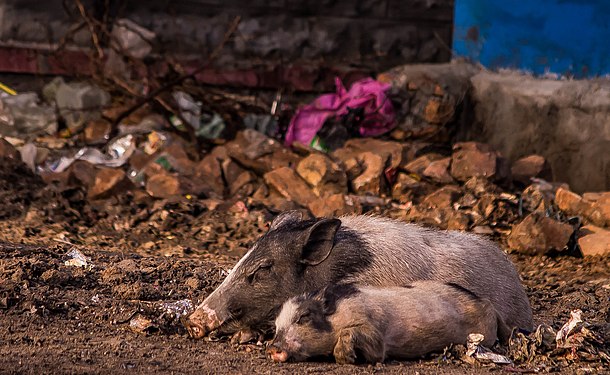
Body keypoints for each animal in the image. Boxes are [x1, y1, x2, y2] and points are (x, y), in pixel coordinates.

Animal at [266, 282, 508, 364]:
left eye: (303, 317)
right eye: (276, 325)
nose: (272, 347)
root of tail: (486, 303)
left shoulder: (376, 335)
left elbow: (372, 349)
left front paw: (346, 359)